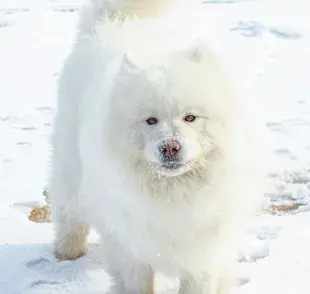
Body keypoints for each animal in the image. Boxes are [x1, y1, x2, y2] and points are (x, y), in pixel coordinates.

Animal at [47, 0, 264, 294]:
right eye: (151, 120)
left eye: (190, 117)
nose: (170, 146)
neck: (173, 198)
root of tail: (115, 19)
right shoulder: (131, 247)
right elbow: (137, 283)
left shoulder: (203, 254)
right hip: (71, 164)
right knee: (69, 211)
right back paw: (67, 249)